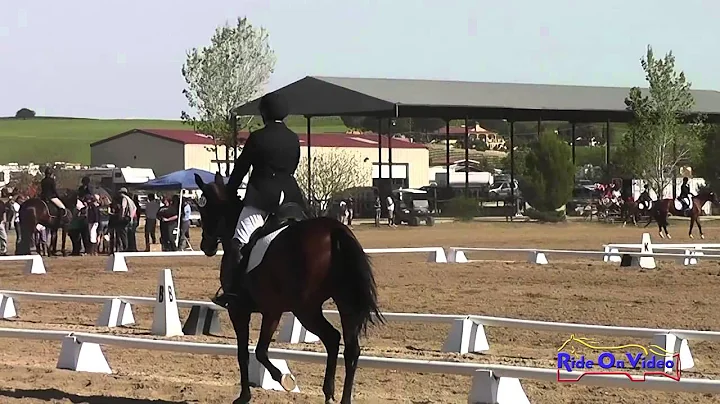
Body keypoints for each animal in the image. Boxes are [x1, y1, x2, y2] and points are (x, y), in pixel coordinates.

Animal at [191, 174, 382, 404]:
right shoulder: (272, 310)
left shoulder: (240, 310)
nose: (206, 246)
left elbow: (247, 352)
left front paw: (256, 390)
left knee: (332, 339)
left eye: (205, 210)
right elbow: (260, 350)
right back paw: (335, 396)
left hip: (306, 309)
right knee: (347, 347)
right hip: (345, 303)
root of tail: (334, 230)